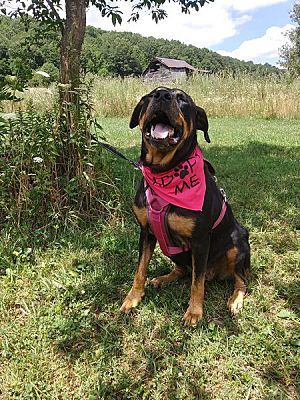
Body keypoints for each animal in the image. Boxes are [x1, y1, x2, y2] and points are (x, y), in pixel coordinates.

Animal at [120, 86, 250, 324]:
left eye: (182, 99)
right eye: (151, 94)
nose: (162, 96)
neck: (164, 170)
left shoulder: (200, 240)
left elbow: (196, 283)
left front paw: (194, 311)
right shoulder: (146, 232)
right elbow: (140, 269)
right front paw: (132, 298)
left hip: (237, 243)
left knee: (240, 280)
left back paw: (236, 300)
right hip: (169, 247)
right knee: (183, 270)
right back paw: (163, 278)